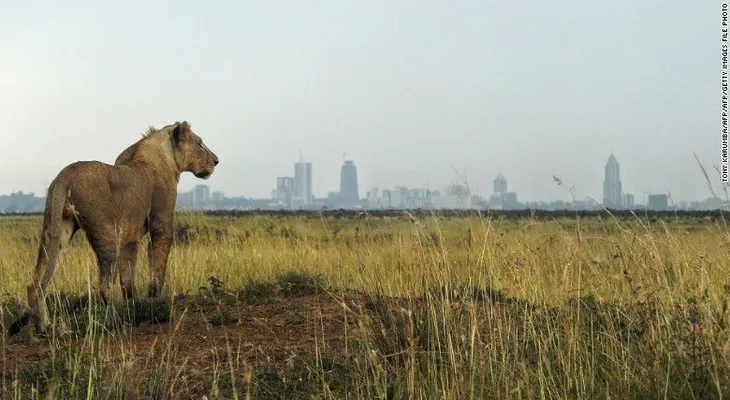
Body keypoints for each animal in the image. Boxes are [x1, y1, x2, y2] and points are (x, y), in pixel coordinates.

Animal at [8, 121, 218, 336]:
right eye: (200, 143)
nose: (216, 160)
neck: (165, 156)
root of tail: (65, 175)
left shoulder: (130, 240)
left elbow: (127, 281)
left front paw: (133, 307)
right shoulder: (161, 224)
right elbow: (157, 270)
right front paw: (154, 305)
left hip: (57, 231)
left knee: (36, 283)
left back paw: (45, 329)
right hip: (107, 236)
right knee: (102, 287)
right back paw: (116, 321)